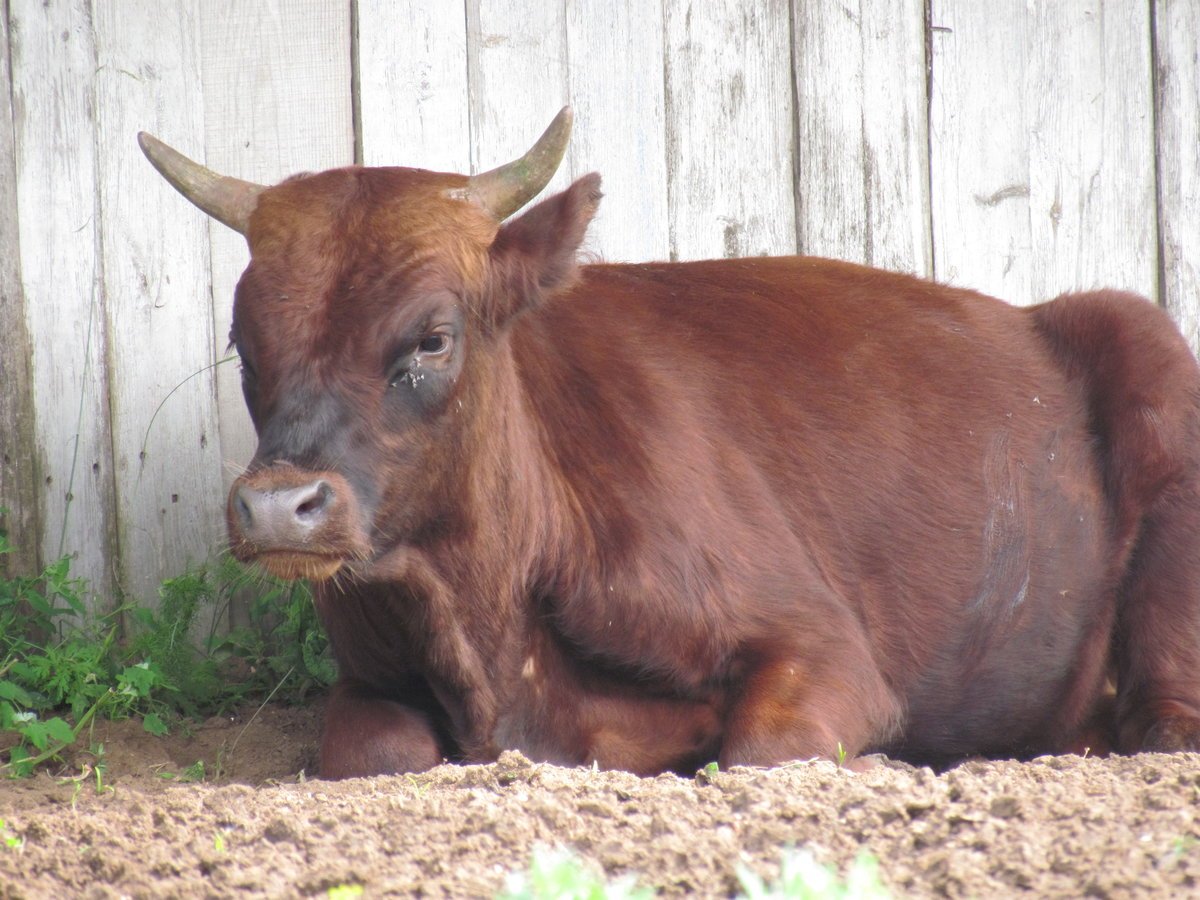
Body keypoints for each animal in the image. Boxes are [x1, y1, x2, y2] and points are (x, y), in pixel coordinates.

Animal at [140, 109, 1200, 777]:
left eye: (432, 337)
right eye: (244, 340)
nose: (280, 506)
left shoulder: (822, 644)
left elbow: (761, 749)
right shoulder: (371, 674)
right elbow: (373, 753)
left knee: (1164, 724)